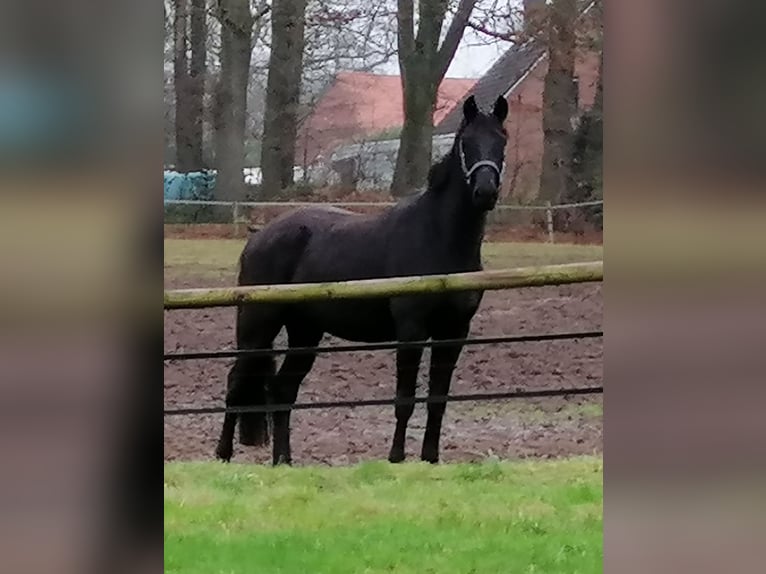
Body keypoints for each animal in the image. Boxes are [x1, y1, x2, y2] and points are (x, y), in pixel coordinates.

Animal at [216, 93, 510, 464]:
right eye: (466, 143)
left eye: (502, 140)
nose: (485, 191)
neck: (439, 238)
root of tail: (258, 237)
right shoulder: (411, 331)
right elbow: (404, 400)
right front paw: (396, 458)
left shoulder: (454, 332)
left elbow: (438, 401)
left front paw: (430, 458)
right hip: (258, 326)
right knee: (236, 382)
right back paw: (223, 454)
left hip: (305, 332)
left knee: (283, 388)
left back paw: (284, 462)